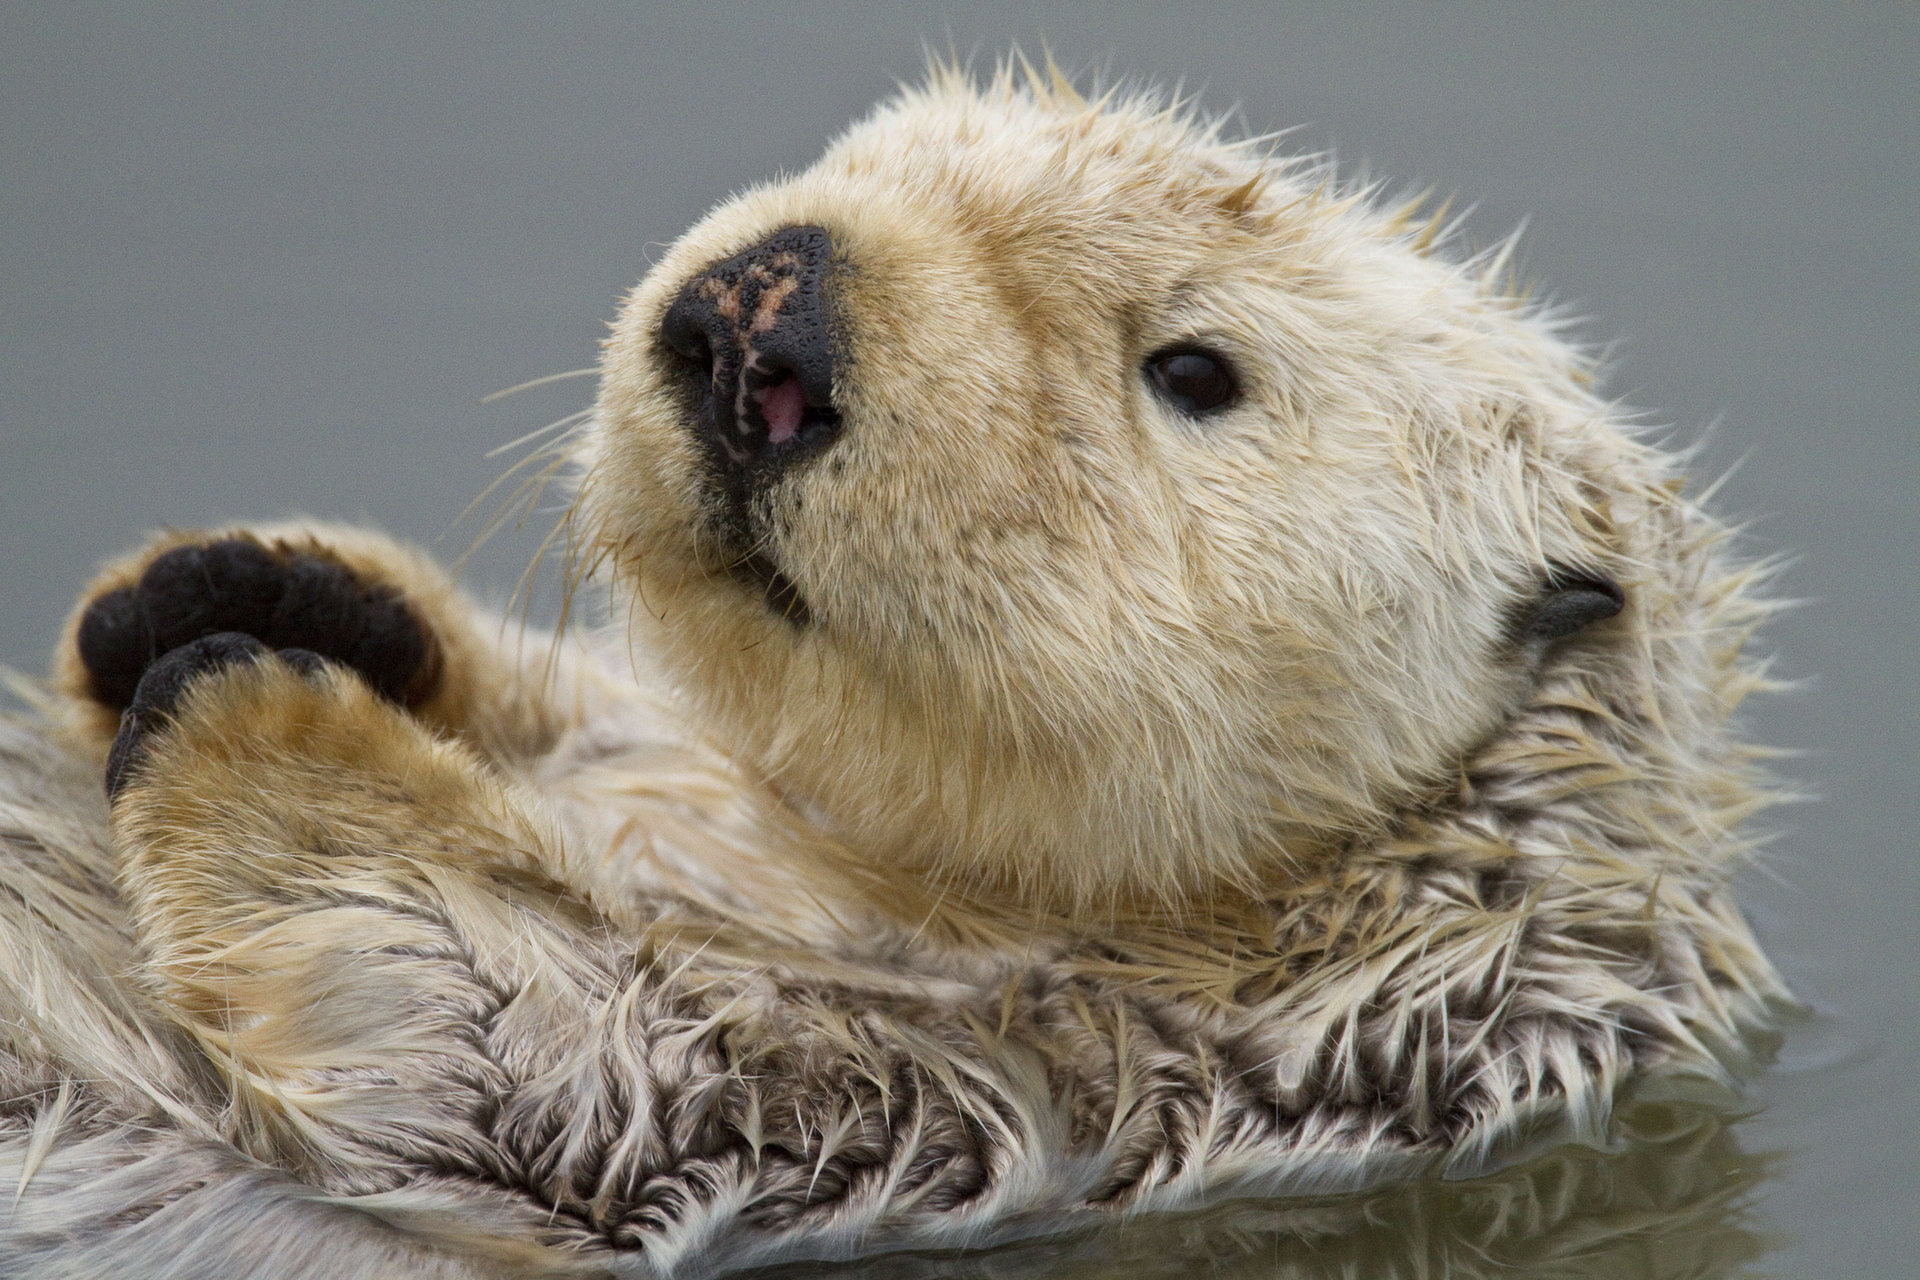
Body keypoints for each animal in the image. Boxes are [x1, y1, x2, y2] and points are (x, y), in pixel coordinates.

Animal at [0, 65, 1784, 1278]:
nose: (760, 320)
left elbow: (528, 1051)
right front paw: (236, 584)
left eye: (1196, 369)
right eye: (857, 167)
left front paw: (257, 703)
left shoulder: (1023, 1091)